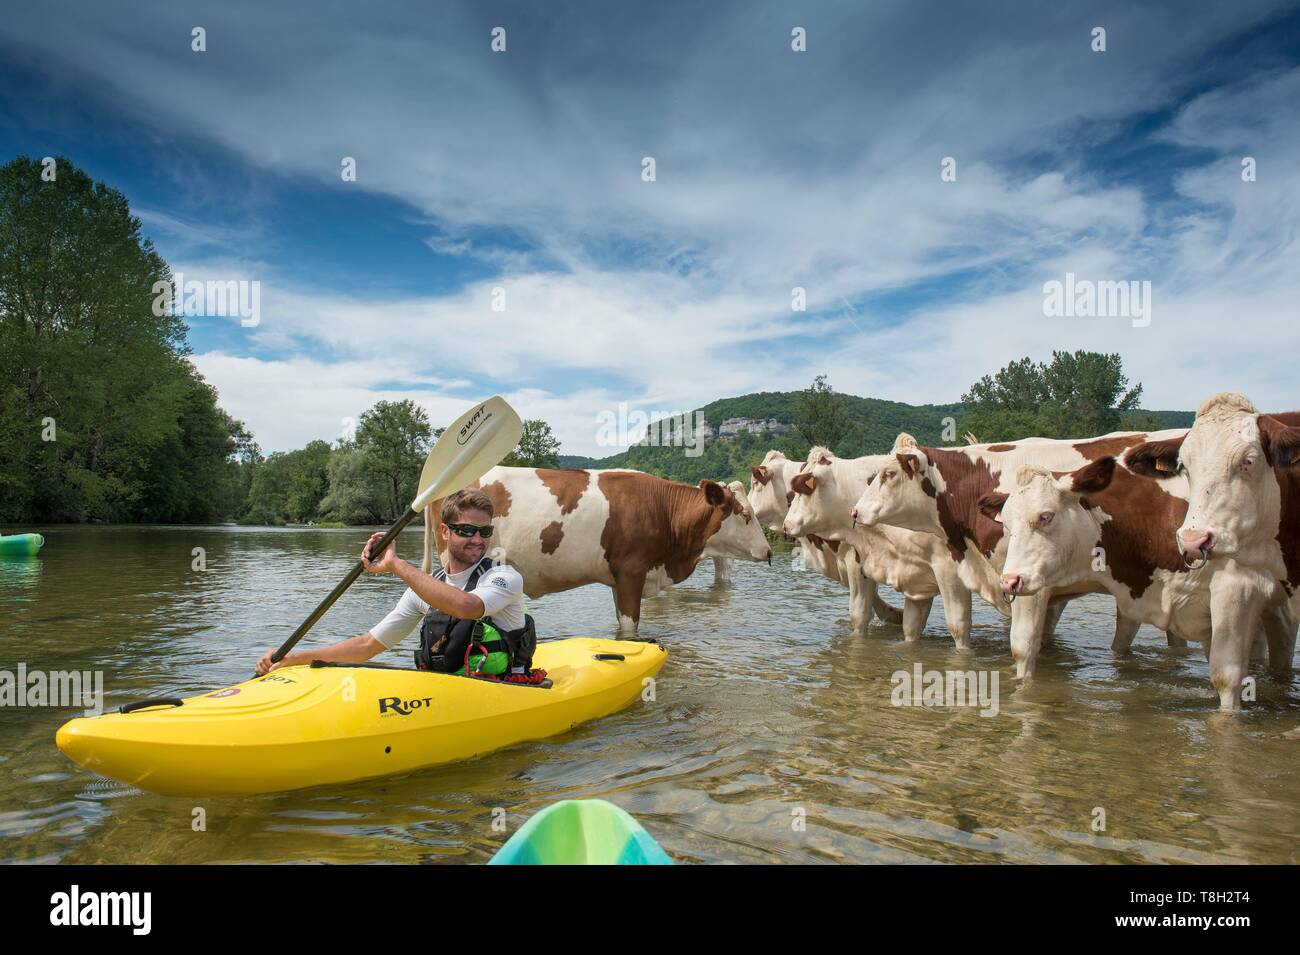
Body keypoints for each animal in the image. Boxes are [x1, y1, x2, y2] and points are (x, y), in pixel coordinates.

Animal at [769, 449, 1003, 649]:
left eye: (803, 489)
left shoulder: (948, 569)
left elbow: (958, 626)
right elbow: (910, 626)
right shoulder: (914, 574)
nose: (786, 524)